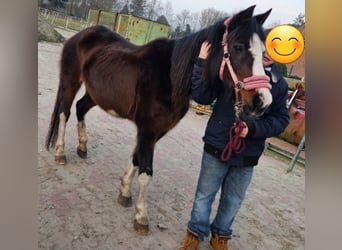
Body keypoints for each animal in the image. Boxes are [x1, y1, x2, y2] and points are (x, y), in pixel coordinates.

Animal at [45, 5, 272, 234]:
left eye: (263, 52)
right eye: (238, 47)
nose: (262, 101)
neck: (171, 75)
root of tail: (81, 35)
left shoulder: (157, 131)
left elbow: (137, 159)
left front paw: (124, 191)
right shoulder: (147, 129)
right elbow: (146, 172)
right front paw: (141, 217)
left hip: (96, 94)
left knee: (80, 109)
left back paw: (82, 147)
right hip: (71, 81)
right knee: (64, 113)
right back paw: (60, 153)